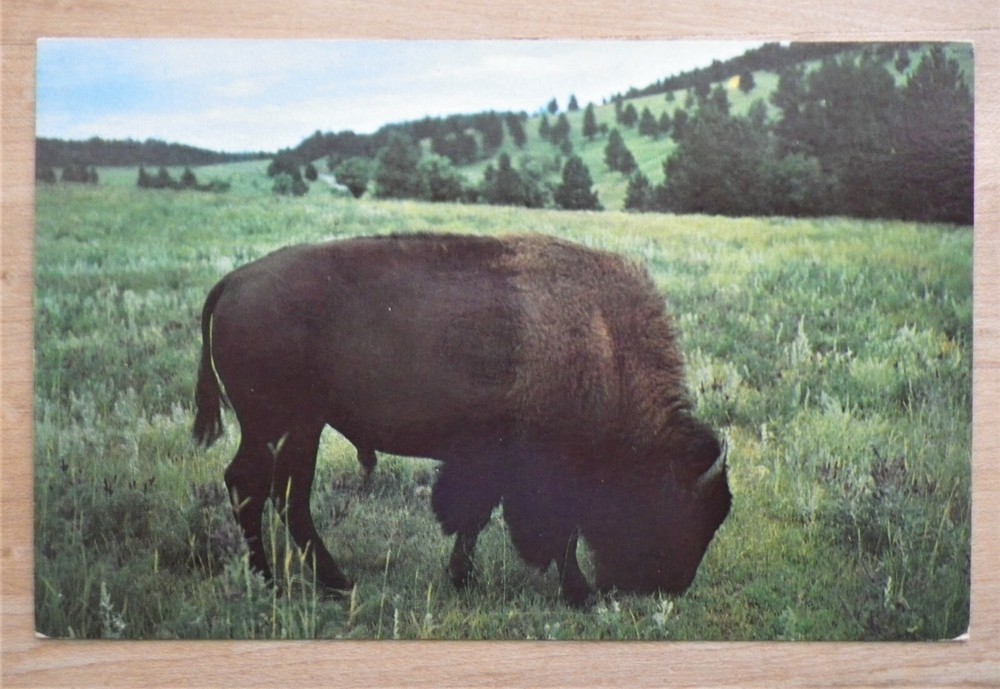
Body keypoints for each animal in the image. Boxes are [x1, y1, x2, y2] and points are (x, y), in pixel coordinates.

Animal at [193, 233, 730, 606]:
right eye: (679, 510)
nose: (670, 586)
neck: (605, 344)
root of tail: (234, 281)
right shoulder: (540, 472)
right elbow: (553, 534)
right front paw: (580, 594)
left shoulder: (490, 464)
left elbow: (476, 518)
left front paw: (461, 577)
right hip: (275, 426)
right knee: (250, 486)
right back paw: (273, 582)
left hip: (302, 427)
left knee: (287, 496)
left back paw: (334, 583)